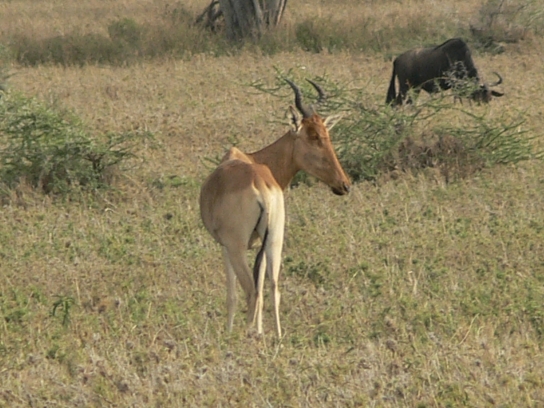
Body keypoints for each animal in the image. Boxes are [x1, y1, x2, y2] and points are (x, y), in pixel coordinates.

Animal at [199, 79, 351, 337]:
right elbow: (263, 282)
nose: (344, 184)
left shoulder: (226, 245)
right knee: (273, 286)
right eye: (314, 136)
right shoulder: (261, 242)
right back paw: (276, 337)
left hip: (238, 246)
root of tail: (259, 183)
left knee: (251, 291)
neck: (251, 159)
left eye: (325, 134)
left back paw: (245, 337)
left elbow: (232, 294)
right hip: (276, 239)